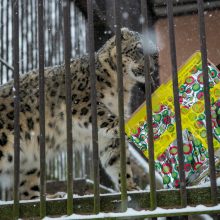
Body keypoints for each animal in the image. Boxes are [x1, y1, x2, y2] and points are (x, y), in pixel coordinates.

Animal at [0, 27, 158, 199]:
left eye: (155, 55)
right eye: (140, 50)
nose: (152, 69)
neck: (121, 86)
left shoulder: (107, 138)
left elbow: (116, 159)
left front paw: (130, 187)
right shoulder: (83, 101)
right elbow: (103, 115)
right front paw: (121, 122)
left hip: (30, 164)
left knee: (27, 191)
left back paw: (54, 196)